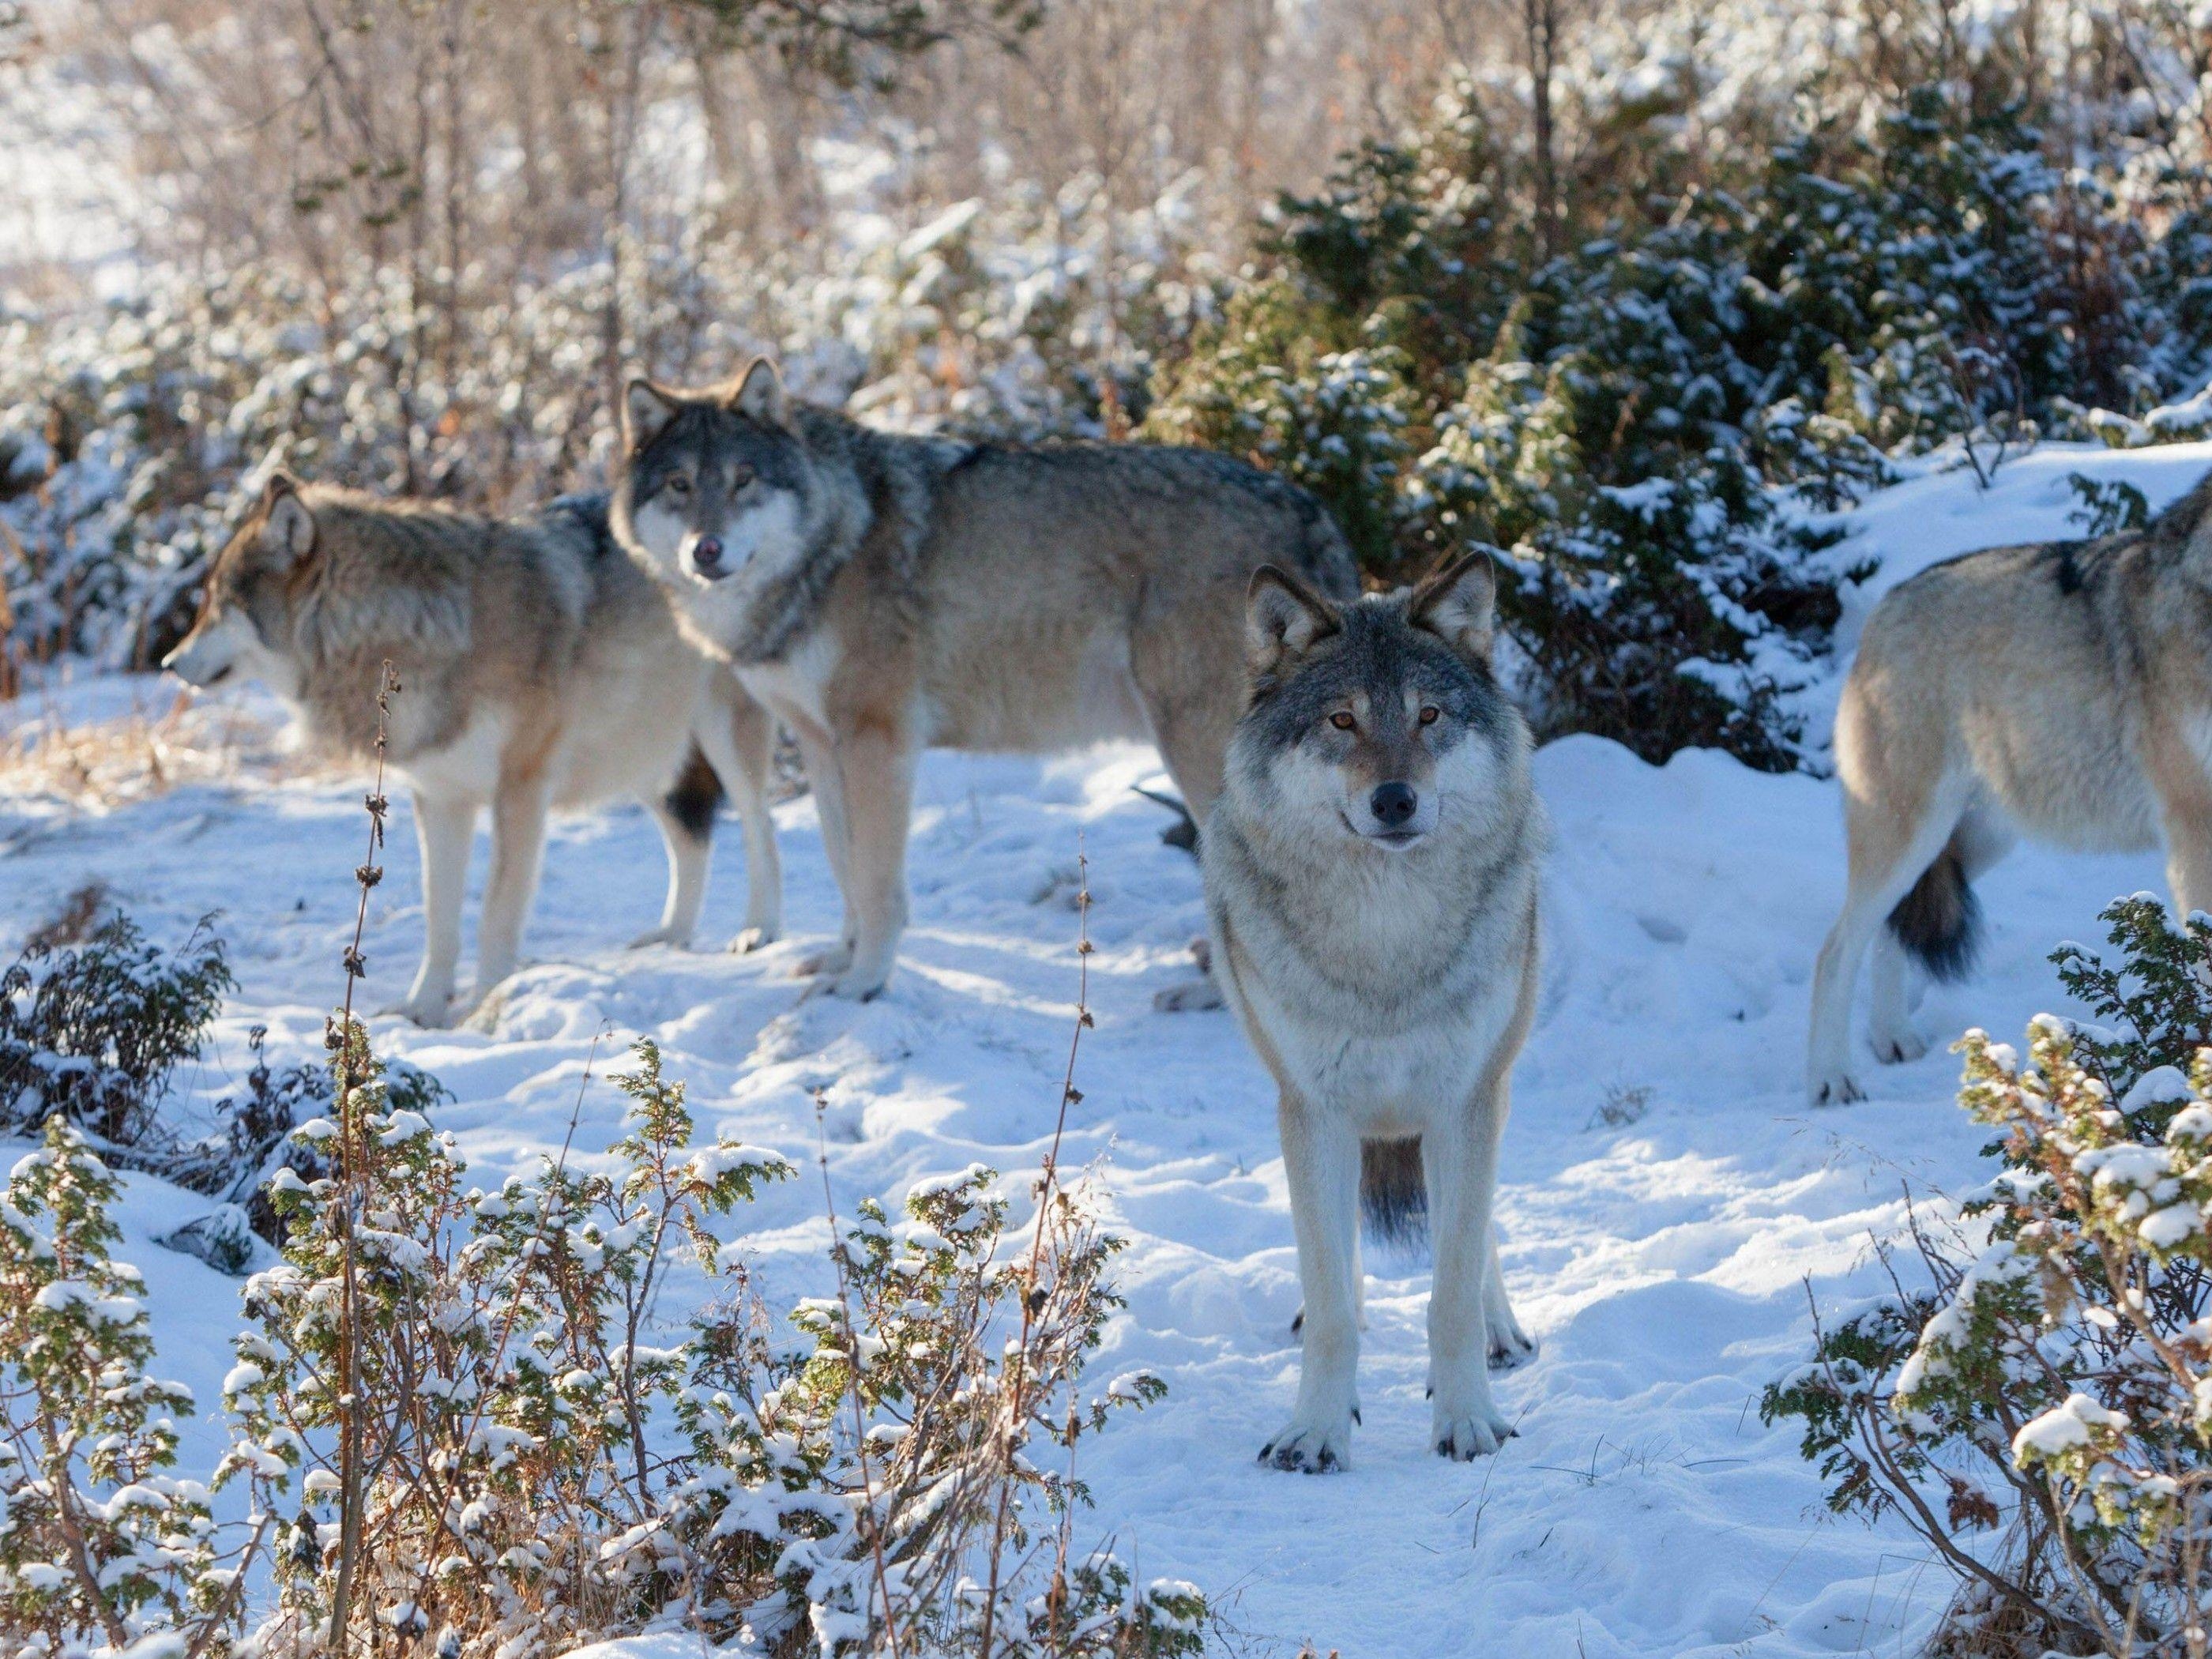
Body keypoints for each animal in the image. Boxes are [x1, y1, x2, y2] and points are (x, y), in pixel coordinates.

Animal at [166, 468, 787, 1035]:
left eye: (218, 602)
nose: (170, 663)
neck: (428, 629)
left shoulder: (521, 790)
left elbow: (494, 913)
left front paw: (484, 1008)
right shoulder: (439, 797)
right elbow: (440, 920)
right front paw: (422, 1010)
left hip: (721, 735)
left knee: (759, 826)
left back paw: (760, 932)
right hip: (644, 752)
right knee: (692, 839)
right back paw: (671, 938)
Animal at [610, 360, 1362, 999]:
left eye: (744, 480)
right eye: (679, 486)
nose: (706, 551)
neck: (832, 542)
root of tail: (1308, 504)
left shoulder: (879, 741)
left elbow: (877, 884)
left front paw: (864, 984)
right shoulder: (823, 747)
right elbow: (842, 866)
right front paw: (839, 960)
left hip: (1195, 749)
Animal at [1203, 553, 1548, 1477]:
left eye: (1428, 715)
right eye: (1341, 720)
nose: (1395, 800)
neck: (1384, 943)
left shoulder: (1466, 1100)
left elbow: (1451, 1290)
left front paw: (1469, 1420)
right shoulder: (1312, 1109)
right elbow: (1328, 1300)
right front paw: (1315, 1431)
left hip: (1496, 1079)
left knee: (1478, 1236)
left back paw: (1502, 1331)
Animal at [1804, 473, 2212, 1110]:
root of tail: (1887, 602)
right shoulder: (2194, 829)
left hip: (1974, 846)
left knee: (1892, 932)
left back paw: (1893, 1039)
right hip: (1910, 836)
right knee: (1835, 950)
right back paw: (1832, 1080)